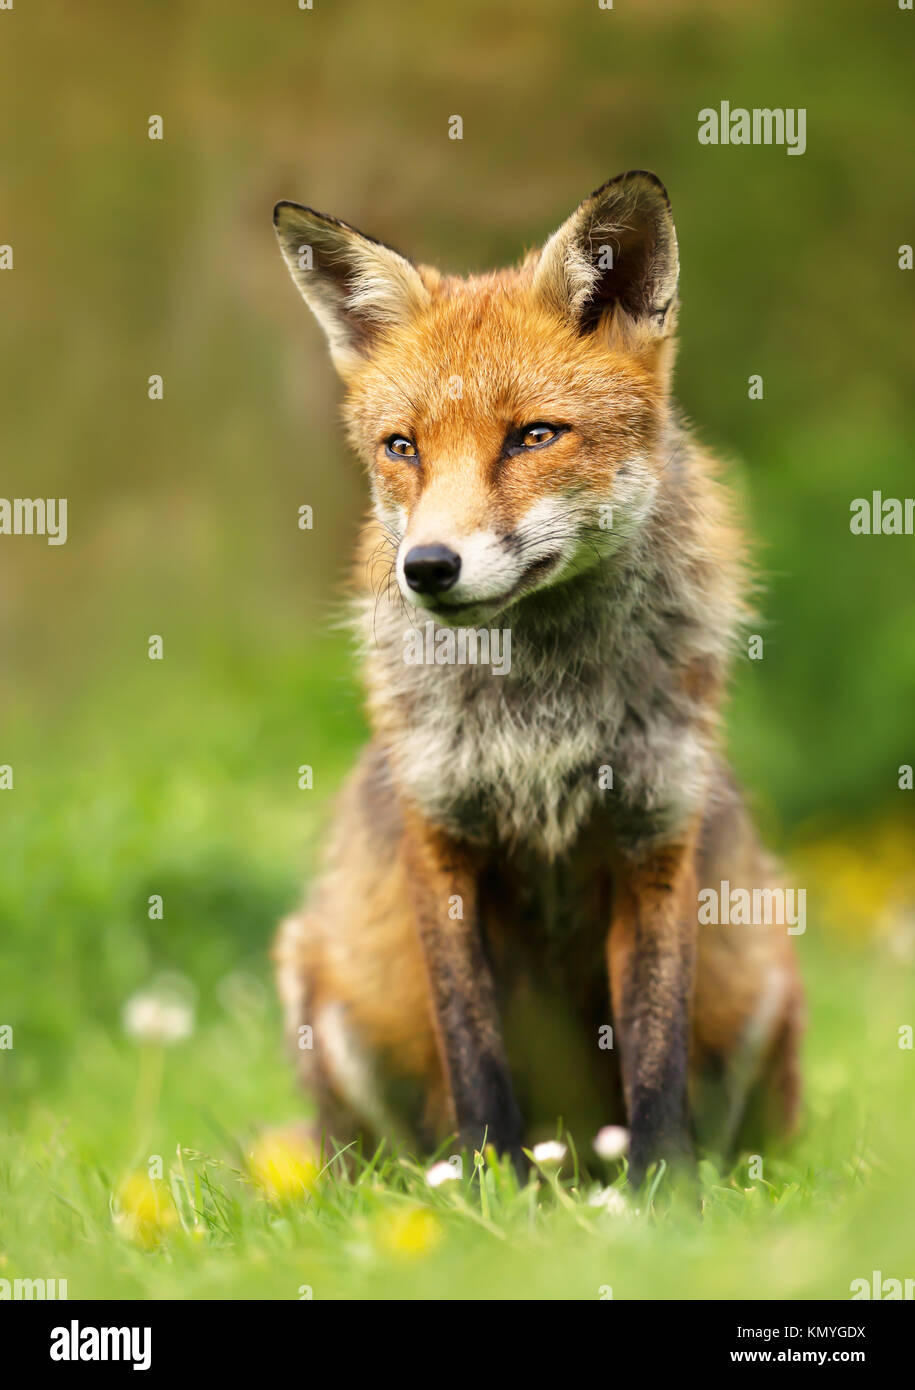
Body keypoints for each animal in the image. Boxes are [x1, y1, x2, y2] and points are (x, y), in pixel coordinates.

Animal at [271, 170, 803, 1187]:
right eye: (401, 448)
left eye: (533, 436)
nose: (428, 567)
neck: (541, 717)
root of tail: (578, 1151)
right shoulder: (441, 841)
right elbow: (473, 1057)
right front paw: (489, 1192)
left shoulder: (654, 839)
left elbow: (655, 1057)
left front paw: (665, 1197)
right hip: (325, 1001)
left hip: (765, 978)